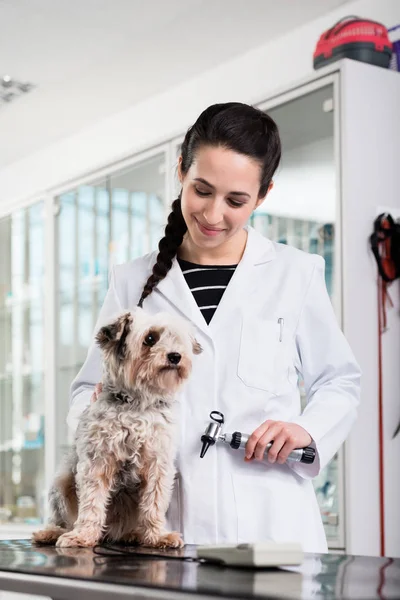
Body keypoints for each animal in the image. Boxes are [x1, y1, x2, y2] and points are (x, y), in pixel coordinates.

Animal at [32, 310, 202, 548]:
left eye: (176, 339)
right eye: (150, 338)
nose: (176, 356)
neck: (138, 404)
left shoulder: (158, 465)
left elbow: (154, 502)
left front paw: (157, 535)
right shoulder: (97, 462)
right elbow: (92, 503)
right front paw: (82, 535)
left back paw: (133, 534)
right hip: (62, 482)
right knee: (62, 518)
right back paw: (52, 532)